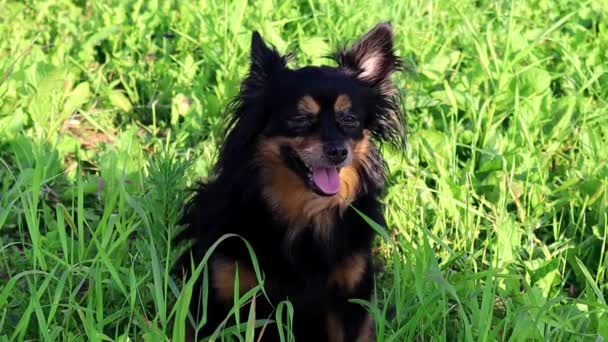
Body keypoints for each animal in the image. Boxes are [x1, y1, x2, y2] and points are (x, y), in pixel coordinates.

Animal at [176, 22, 404, 340]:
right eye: (300, 119)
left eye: (349, 120)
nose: (338, 151)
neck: (304, 212)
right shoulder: (223, 296)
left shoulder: (349, 302)